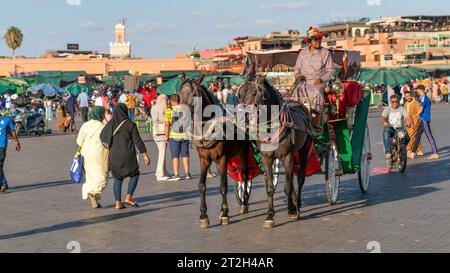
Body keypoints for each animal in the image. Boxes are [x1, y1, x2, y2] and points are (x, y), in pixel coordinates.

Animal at [177, 77, 251, 227]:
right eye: (179, 94)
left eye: (194, 94)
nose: (181, 121)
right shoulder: (204, 159)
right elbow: (201, 185)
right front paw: (204, 215)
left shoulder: (222, 158)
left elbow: (223, 186)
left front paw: (226, 214)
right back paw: (222, 210)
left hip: (243, 153)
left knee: (245, 174)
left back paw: (244, 203)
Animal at [239, 75, 312, 227]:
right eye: (239, 94)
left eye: (254, 93)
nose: (242, 118)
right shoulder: (266, 158)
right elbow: (270, 187)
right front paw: (269, 216)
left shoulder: (287, 155)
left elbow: (287, 187)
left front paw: (291, 210)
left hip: (304, 148)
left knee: (300, 177)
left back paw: (298, 205)